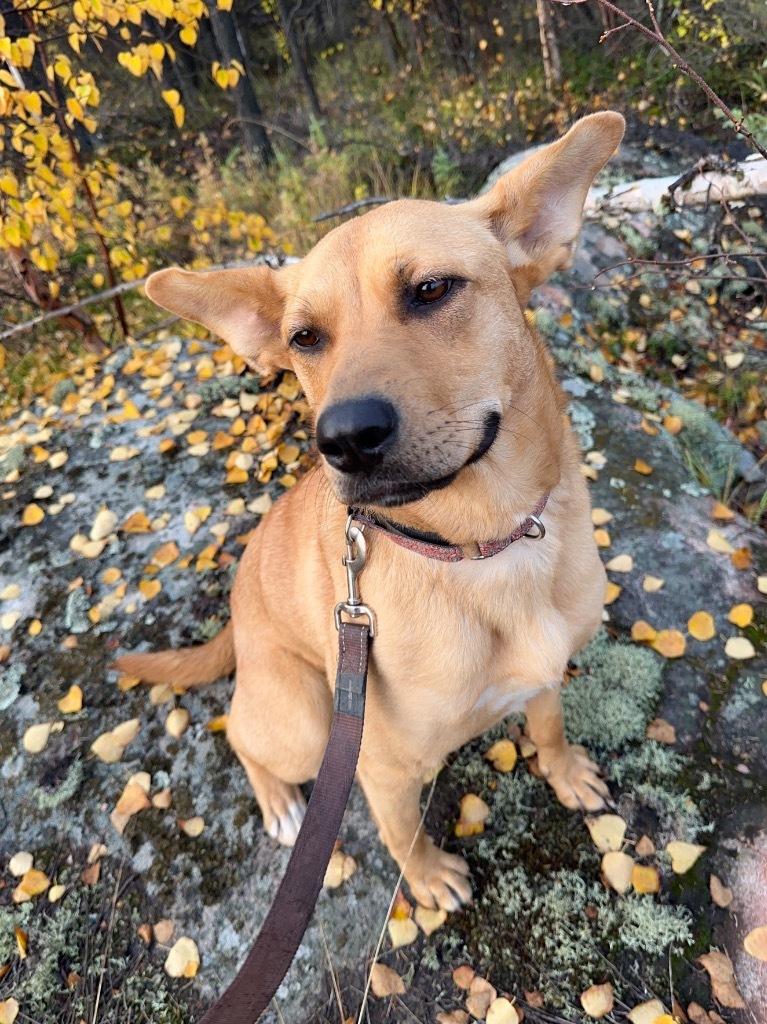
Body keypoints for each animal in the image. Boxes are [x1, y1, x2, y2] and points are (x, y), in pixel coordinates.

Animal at [116, 114, 626, 913]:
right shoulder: (379, 764)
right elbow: (400, 830)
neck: (483, 545)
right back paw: (279, 803)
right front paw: (427, 878)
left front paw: (566, 771)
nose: (345, 438)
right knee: (241, 736)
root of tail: (236, 614)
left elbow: (548, 726)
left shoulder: (545, 677)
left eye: (430, 289)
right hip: (308, 722)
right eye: (303, 338)